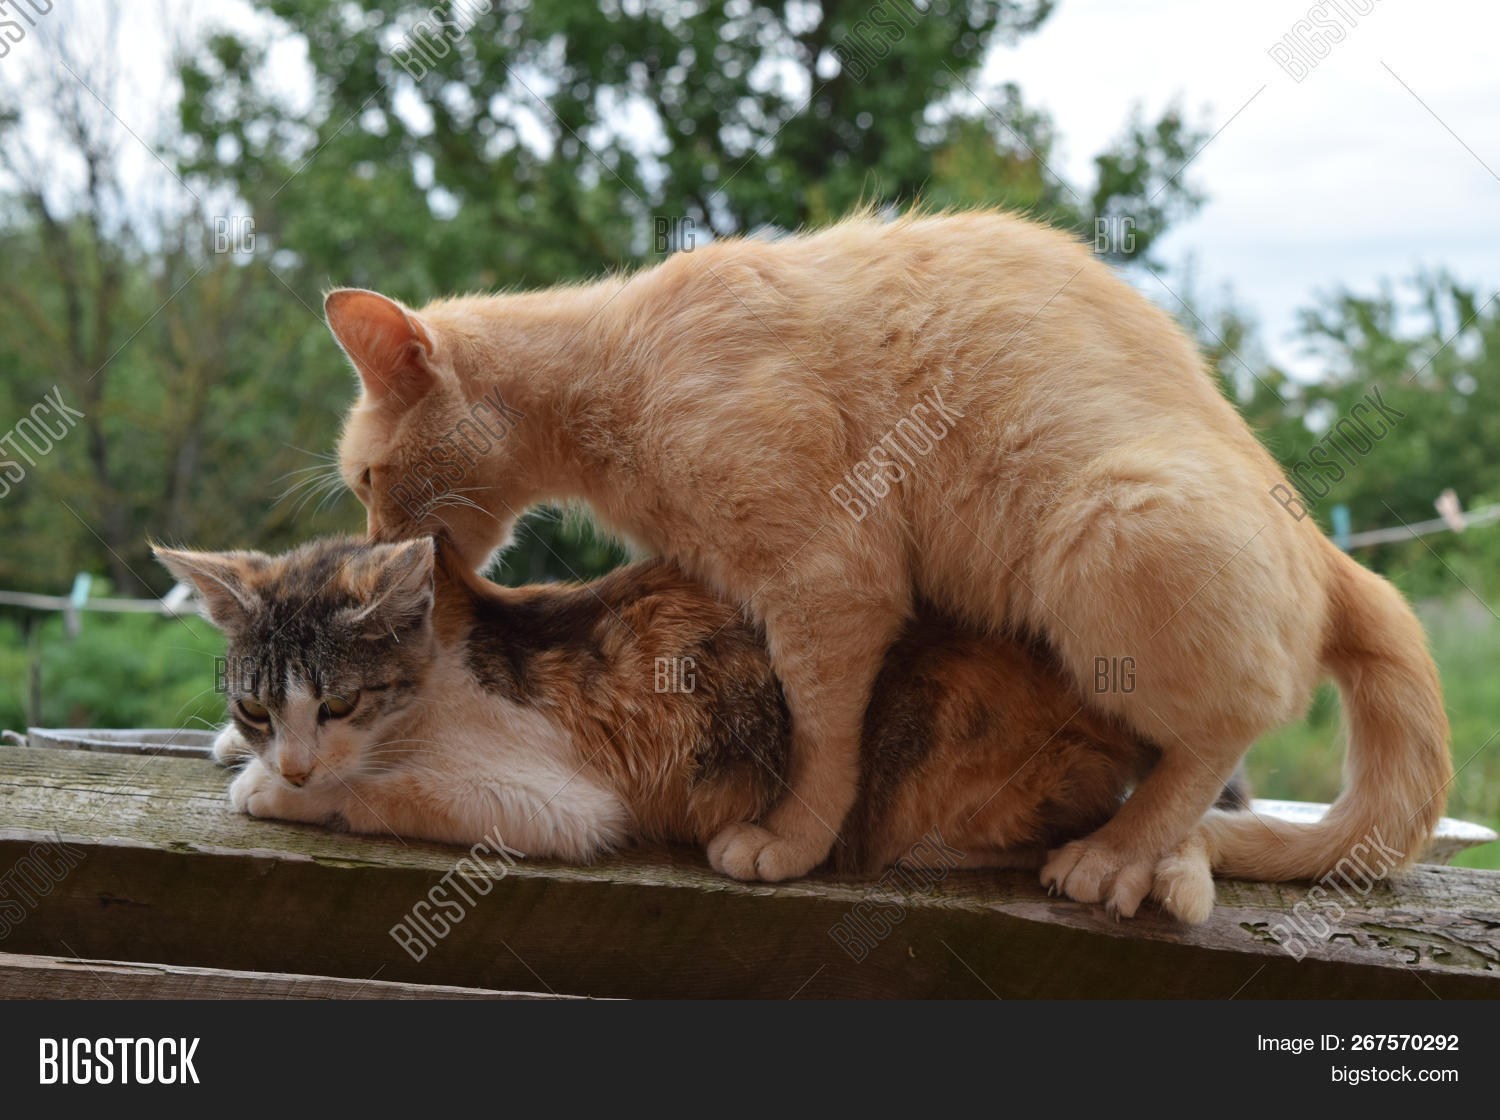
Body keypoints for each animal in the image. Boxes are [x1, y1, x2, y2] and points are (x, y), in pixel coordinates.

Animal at [155, 539, 1230, 923]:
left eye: (338, 704)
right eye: (258, 705)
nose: (293, 758)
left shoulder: (558, 799)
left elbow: (392, 787)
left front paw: (277, 791)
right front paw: (239, 755)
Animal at [325, 209, 1452, 917]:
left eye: (367, 478)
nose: (375, 536)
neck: (620, 373)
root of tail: (1327, 547)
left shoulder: (831, 581)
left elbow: (827, 735)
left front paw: (790, 841)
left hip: (1113, 522)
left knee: (1228, 724)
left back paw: (1123, 853)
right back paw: (1167, 862)